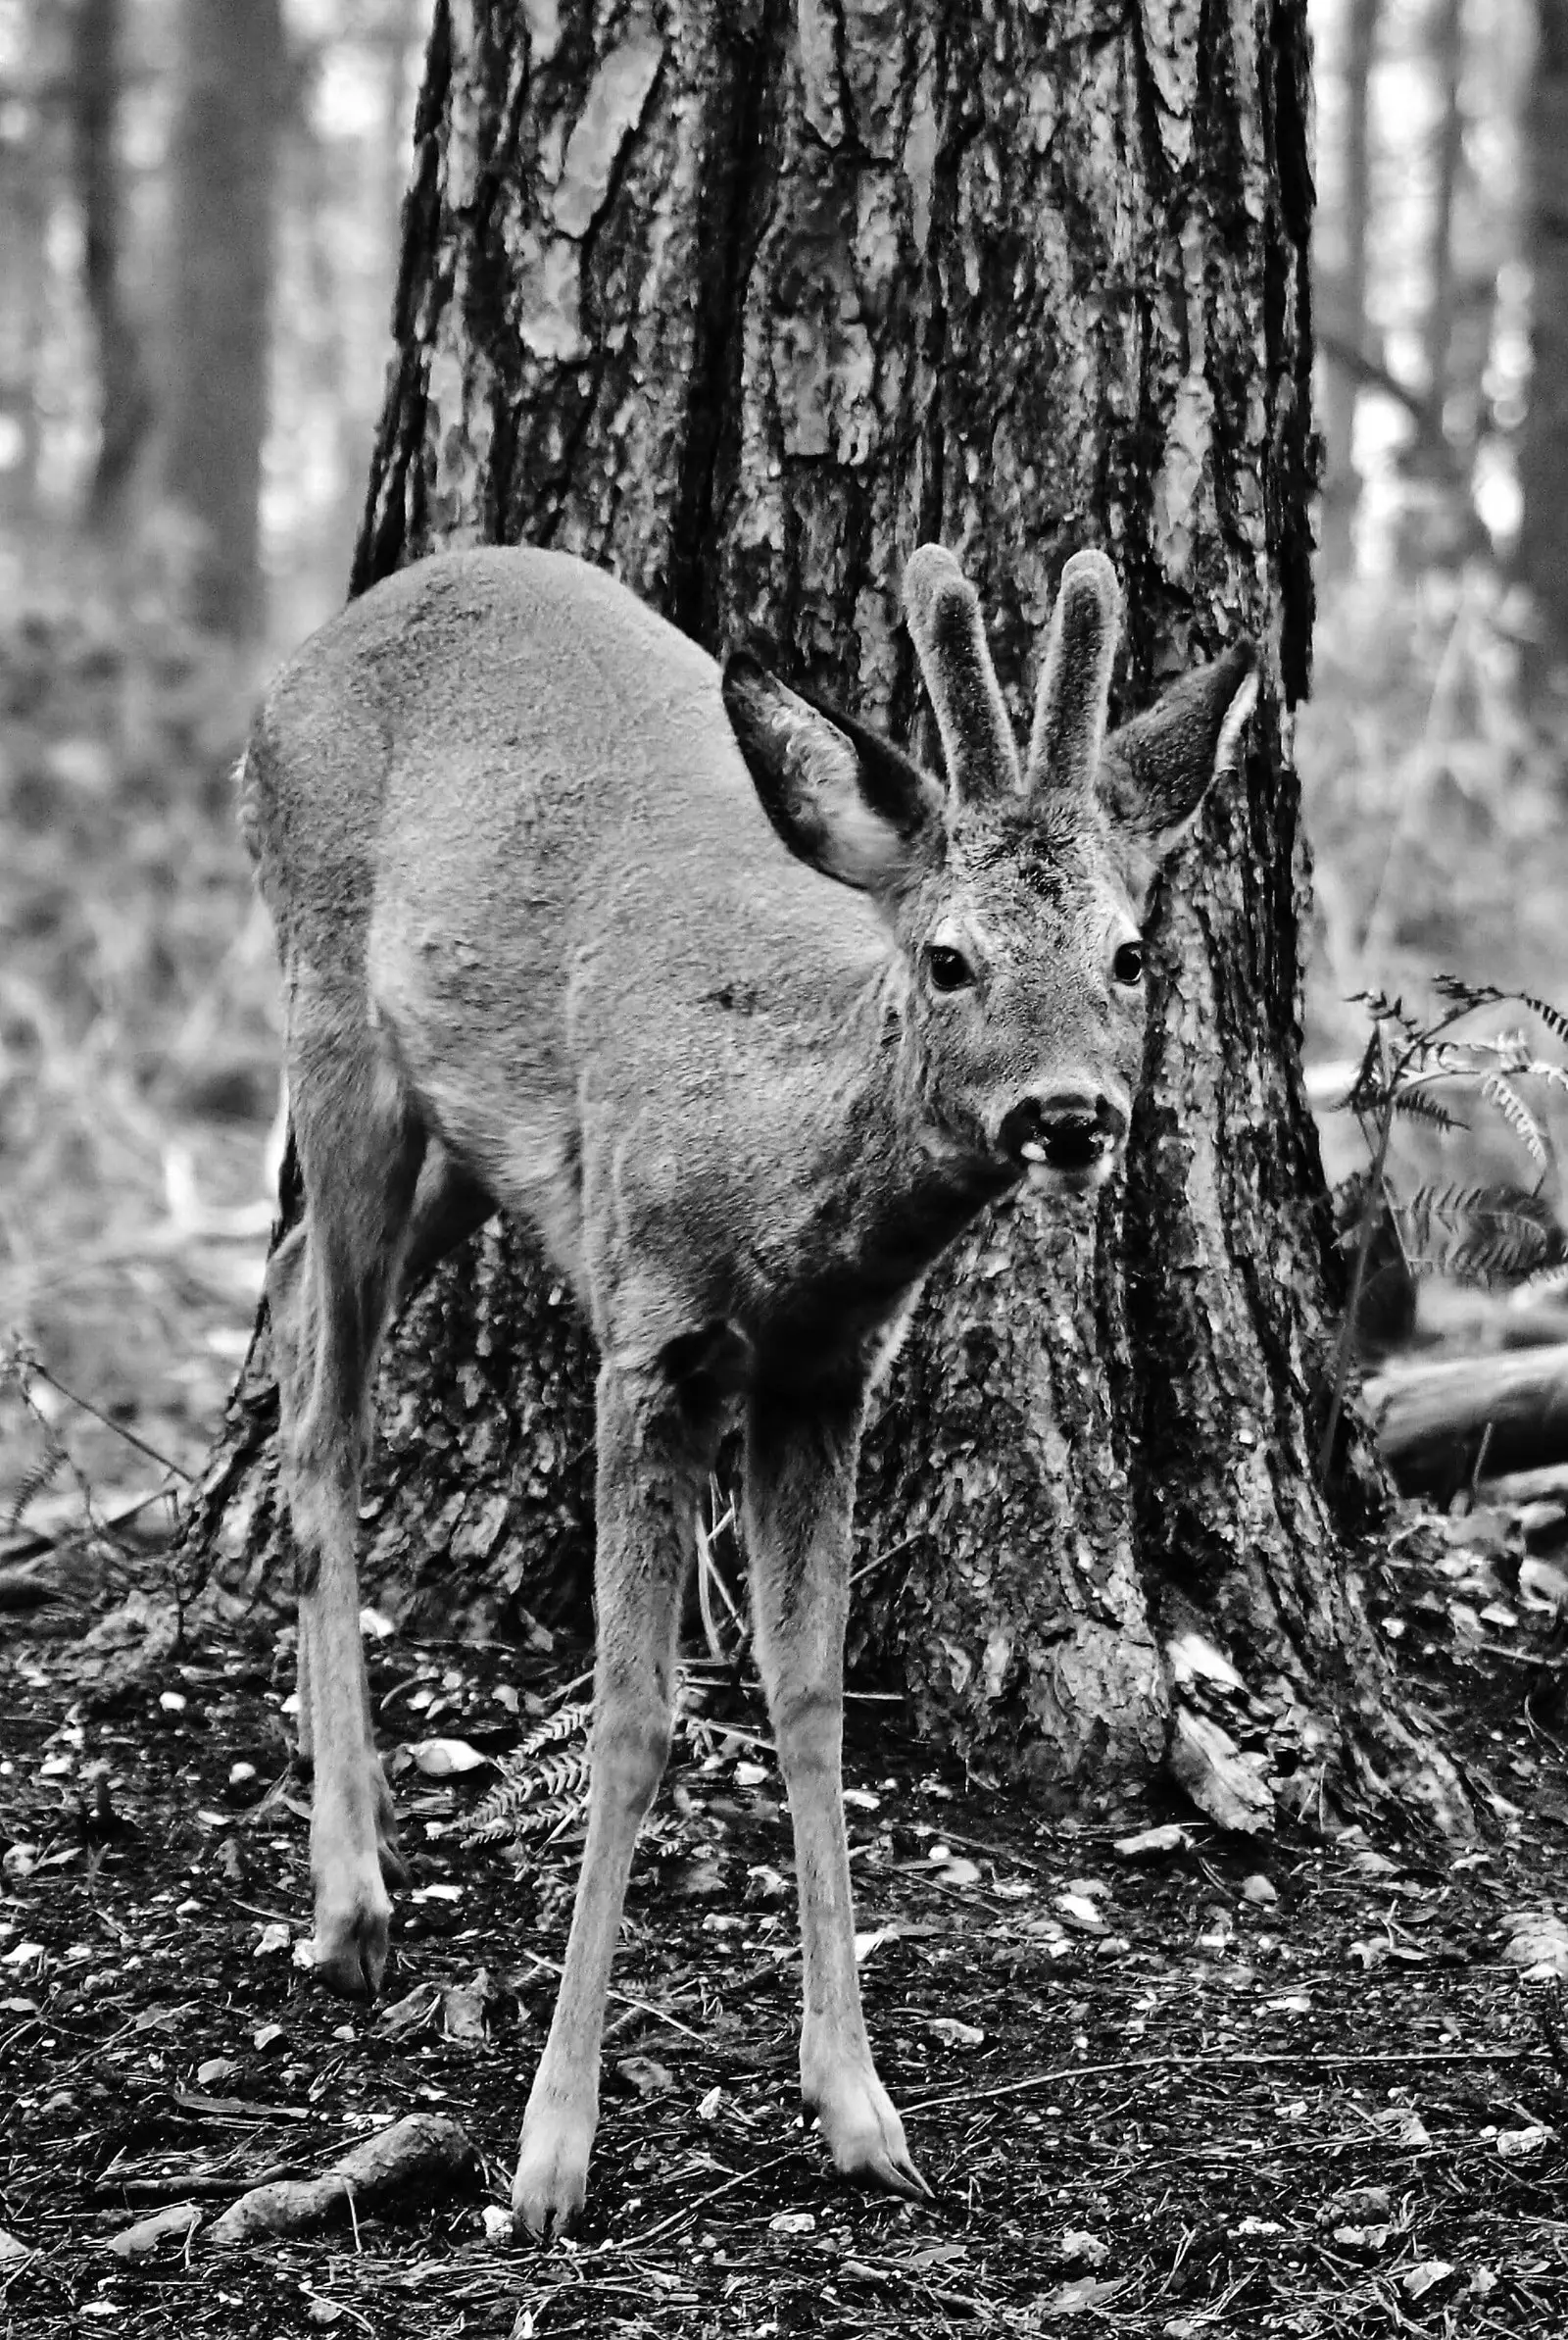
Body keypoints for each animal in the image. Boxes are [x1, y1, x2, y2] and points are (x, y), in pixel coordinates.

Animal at [239, 538, 1263, 2236]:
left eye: (1127, 952)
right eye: (949, 957)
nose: (1068, 1115)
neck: (785, 1194)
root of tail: (340, 627)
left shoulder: (825, 1375)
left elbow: (811, 1696)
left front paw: (859, 2104)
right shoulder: (645, 1339)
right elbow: (634, 1714)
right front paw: (551, 2151)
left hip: (456, 1136)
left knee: (297, 1313)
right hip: (331, 1014)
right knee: (324, 1424)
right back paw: (352, 1900)